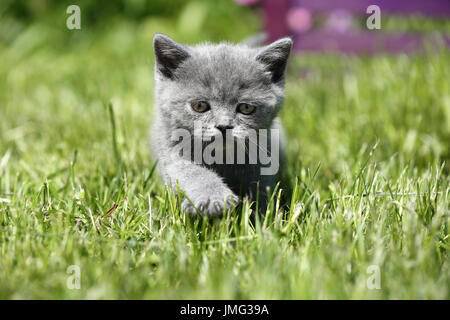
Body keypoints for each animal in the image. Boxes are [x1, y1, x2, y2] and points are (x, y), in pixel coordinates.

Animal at [151, 33, 292, 216]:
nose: (223, 126)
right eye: (199, 105)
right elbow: (191, 171)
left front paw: (264, 214)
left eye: (246, 108)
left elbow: (262, 186)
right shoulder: (171, 151)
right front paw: (212, 198)